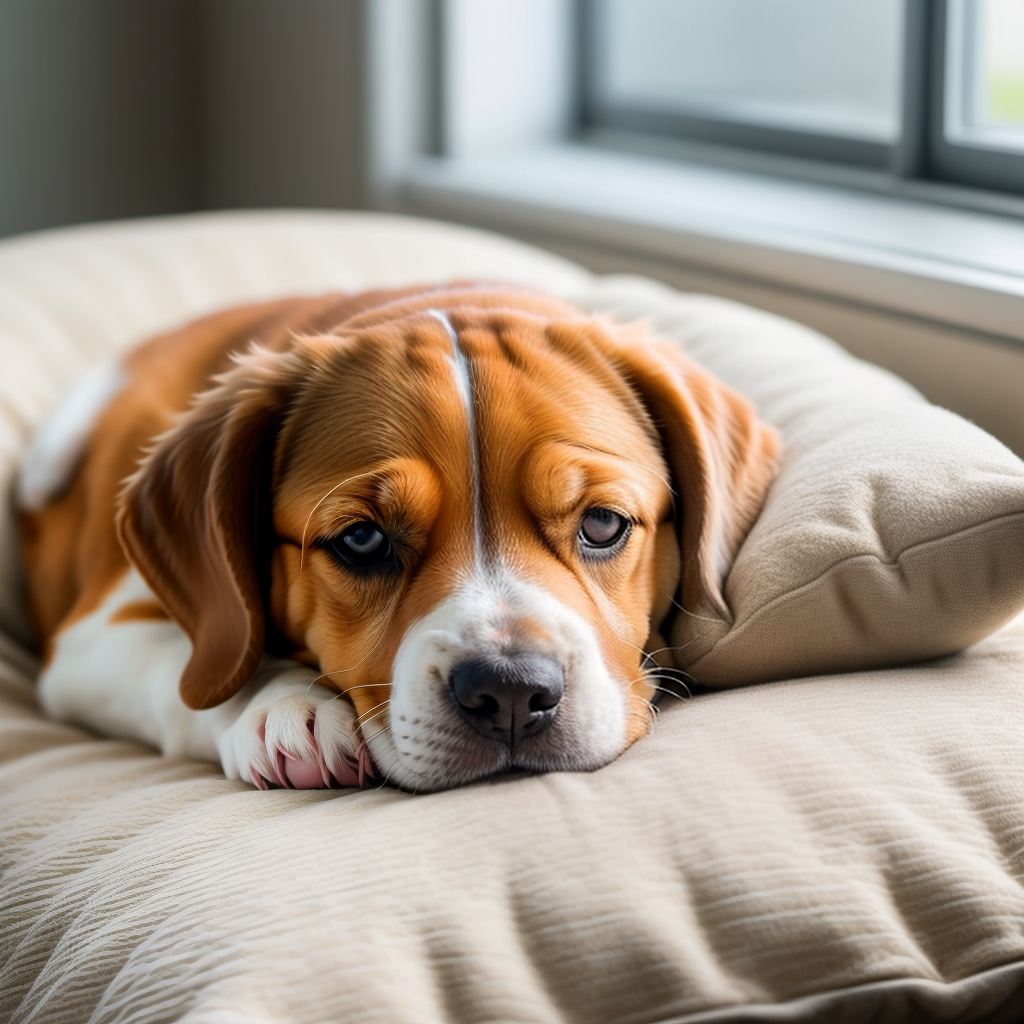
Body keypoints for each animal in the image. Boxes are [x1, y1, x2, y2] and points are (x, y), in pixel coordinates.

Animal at [16, 284, 774, 794]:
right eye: (360, 539)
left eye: (602, 524)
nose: (509, 693)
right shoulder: (90, 645)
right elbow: (193, 674)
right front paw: (285, 705)